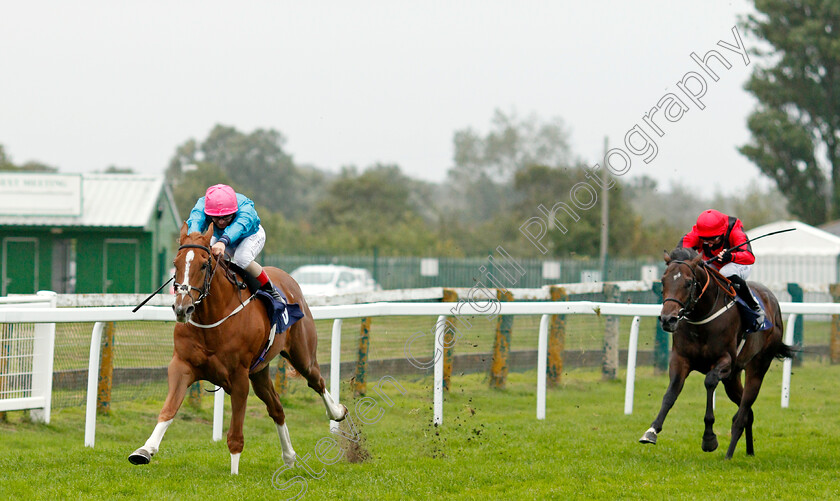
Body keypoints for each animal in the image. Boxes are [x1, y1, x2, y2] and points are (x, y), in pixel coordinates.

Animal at [128, 223, 344, 472]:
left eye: (204, 264)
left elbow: (235, 433)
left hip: (302, 354)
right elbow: (168, 410)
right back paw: (289, 456)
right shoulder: (182, 366)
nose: (183, 308)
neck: (212, 319)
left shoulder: (239, 376)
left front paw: (233, 473)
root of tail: (290, 280)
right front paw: (144, 451)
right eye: (176, 263)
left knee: (316, 381)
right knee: (276, 407)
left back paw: (338, 412)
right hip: (259, 371)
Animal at [644, 246, 796, 458]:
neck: (701, 318)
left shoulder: (725, 361)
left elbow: (709, 382)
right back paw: (749, 451)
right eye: (663, 281)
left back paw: (729, 454)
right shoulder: (680, 359)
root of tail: (773, 302)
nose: (668, 319)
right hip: (732, 378)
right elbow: (671, 393)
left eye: (688, 283)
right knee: (747, 413)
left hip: (757, 367)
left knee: (743, 411)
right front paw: (651, 431)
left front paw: (709, 438)